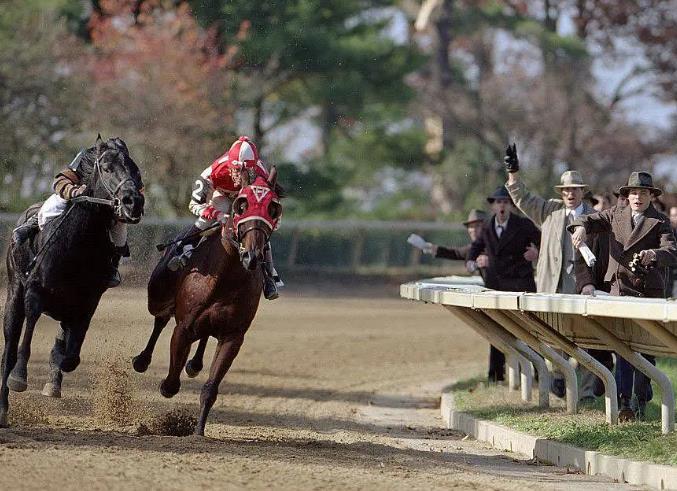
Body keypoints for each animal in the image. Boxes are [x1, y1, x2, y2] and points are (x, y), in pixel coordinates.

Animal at [0, 135, 144, 426]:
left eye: (135, 171)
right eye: (107, 168)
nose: (132, 202)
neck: (77, 247)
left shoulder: (87, 302)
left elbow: (70, 355)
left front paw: (55, 373)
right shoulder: (34, 290)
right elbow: (28, 333)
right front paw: (20, 377)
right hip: (13, 293)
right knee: (8, 350)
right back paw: (3, 407)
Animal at [133, 168, 282, 434]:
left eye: (273, 208)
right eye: (241, 204)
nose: (252, 256)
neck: (226, 276)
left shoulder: (233, 336)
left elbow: (211, 388)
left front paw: (198, 431)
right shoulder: (183, 328)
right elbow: (171, 384)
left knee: (202, 336)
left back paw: (194, 364)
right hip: (157, 295)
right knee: (160, 319)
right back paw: (142, 360)